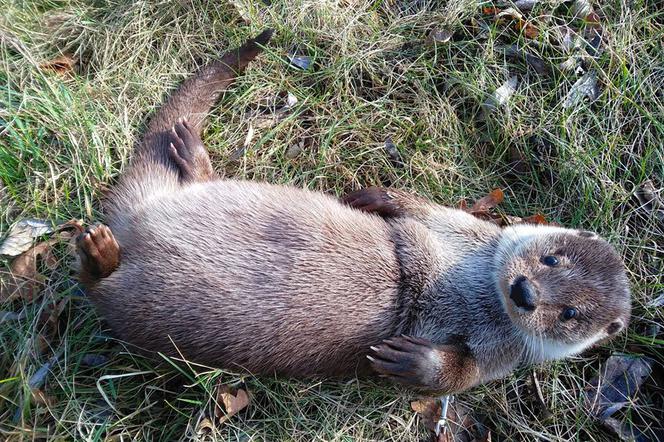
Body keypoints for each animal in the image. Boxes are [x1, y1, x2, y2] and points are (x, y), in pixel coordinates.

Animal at [75, 29, 632, 392]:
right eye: (551, 257)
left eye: (571, 313)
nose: (524, 292)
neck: (481, 289)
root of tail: (134, 222)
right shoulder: (469, 228)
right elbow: (425, 210)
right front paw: (378, 198)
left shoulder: (508, 356)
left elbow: (460, 376)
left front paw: (414, 362)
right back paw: (183, 160)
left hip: (138, 309)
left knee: (97, 287)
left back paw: (99, 249)